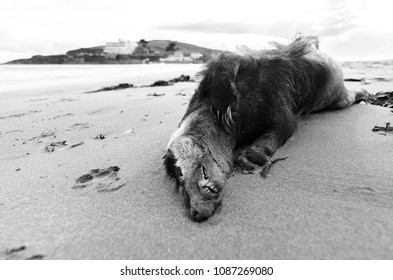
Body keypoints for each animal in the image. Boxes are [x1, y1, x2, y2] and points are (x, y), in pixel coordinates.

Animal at [162, 36, 368, 222]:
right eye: (177, 179)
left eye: (178, 173)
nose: (196, 212)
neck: (239, 127)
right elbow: (284, 127)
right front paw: (249, 158)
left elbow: (224, 61)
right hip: (336, 99)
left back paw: (365, 93)